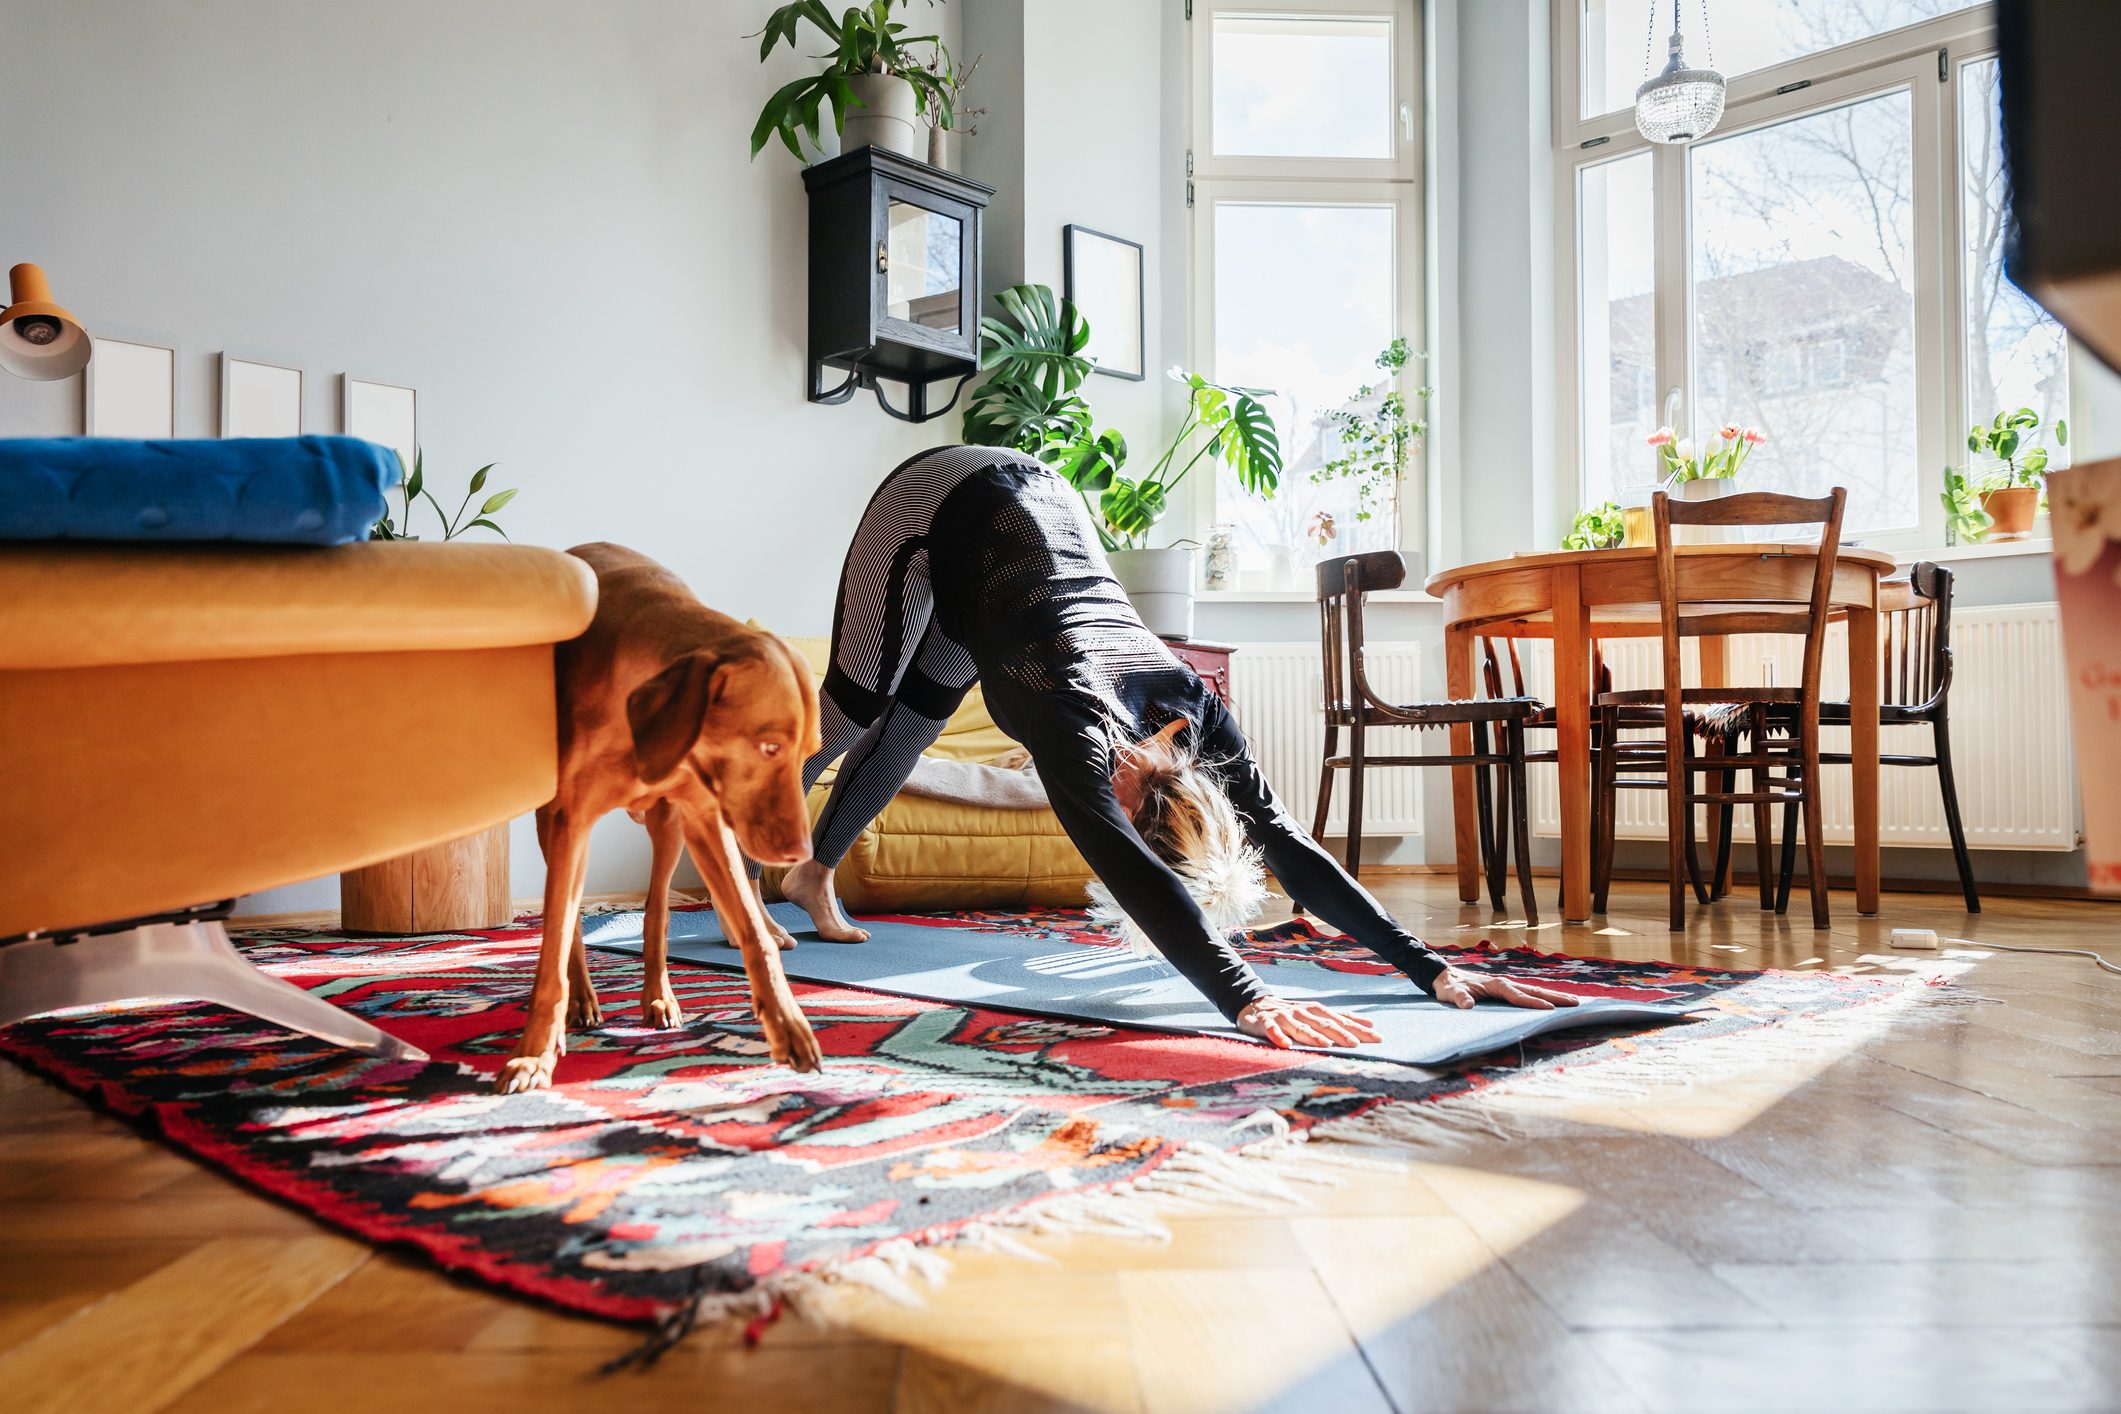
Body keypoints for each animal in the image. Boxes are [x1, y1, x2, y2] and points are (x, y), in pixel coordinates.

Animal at [498, 546, 827, 1093]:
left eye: (807, 751)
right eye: (768, 746)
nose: (802, 852)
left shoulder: (705, 819)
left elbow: (756, 935)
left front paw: (787, 1024)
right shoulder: (571, 822)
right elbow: (556, 941)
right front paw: (534, 1054)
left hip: (670, 826)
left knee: (656, 911)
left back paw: (659, 995)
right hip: (554, 824)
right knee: (570, 922)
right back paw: (582, 999)